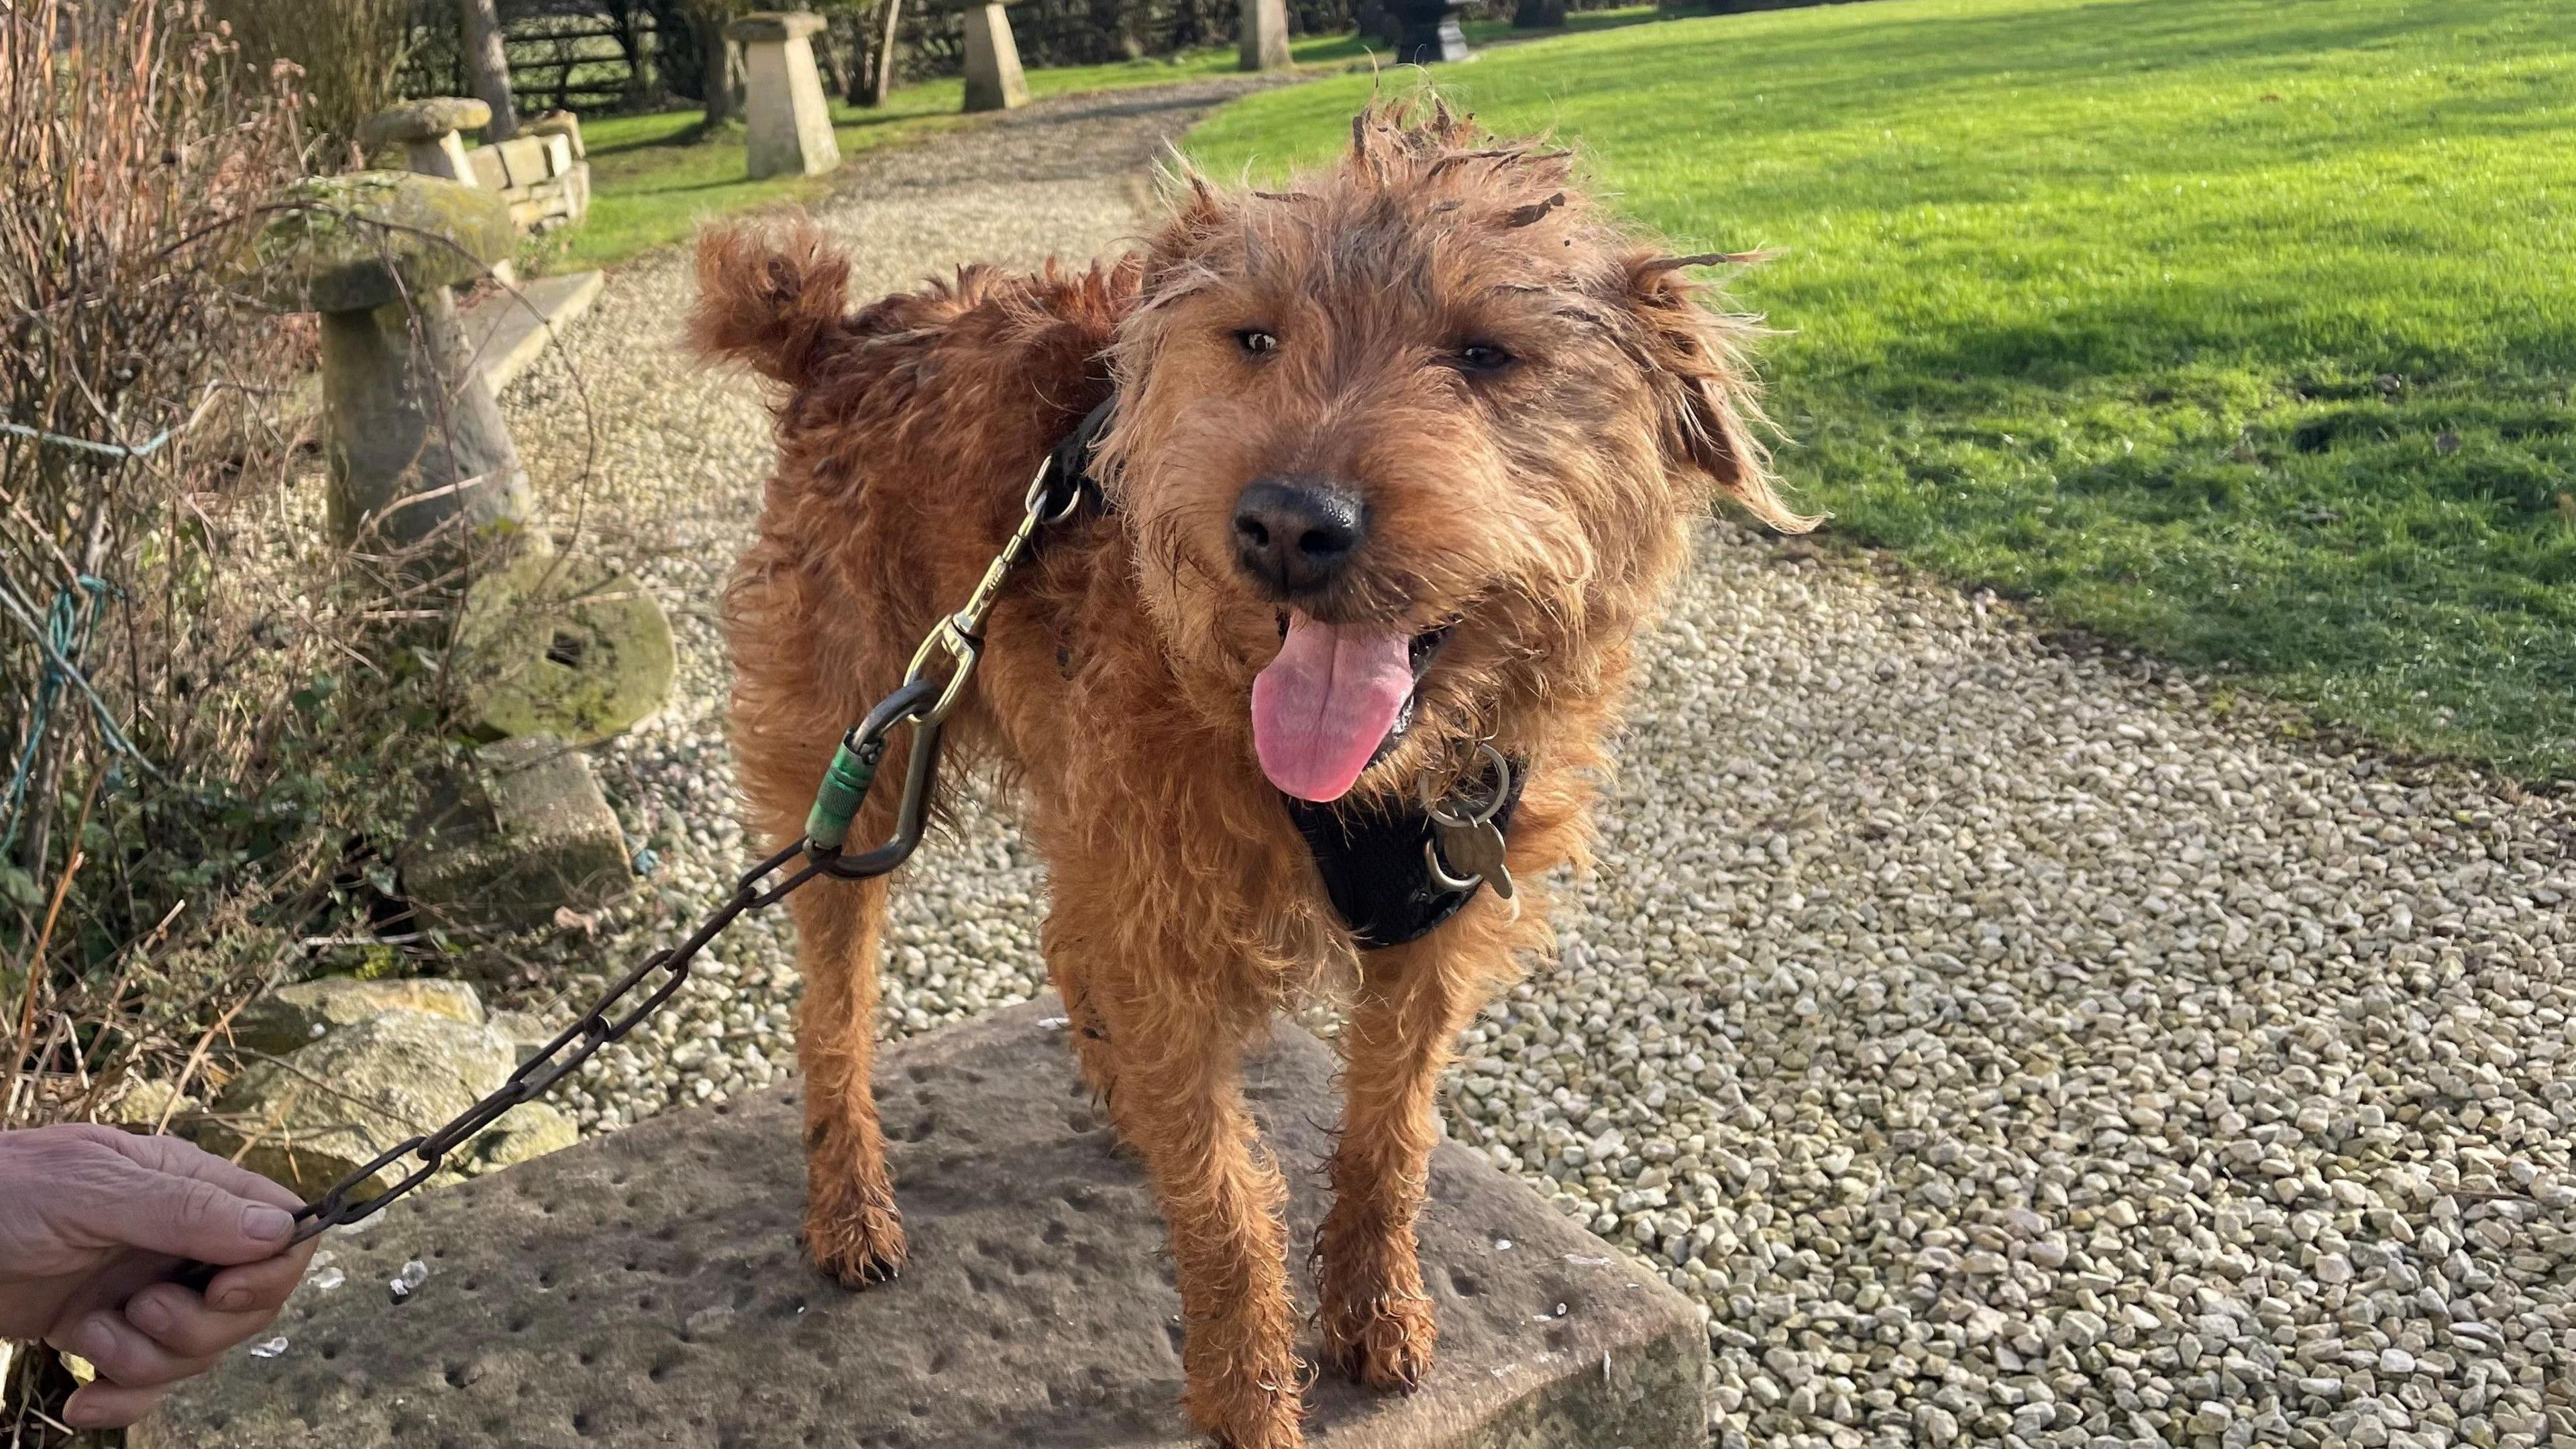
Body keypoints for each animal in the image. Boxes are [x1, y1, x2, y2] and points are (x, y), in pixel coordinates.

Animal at [690, 96, 1813, 1433]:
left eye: (1488, 355)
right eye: (1256, 338)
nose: (1286, 521)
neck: (1369, 784)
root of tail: (837, 339)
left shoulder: (1427, 935)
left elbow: (1389, 1144)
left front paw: (1375, 1315)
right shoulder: (1166, 914)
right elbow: (1225, 1202)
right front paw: (1248, 1398)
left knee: (1065, 939)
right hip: (854, 766)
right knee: (833, 1015)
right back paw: (852, 1206)